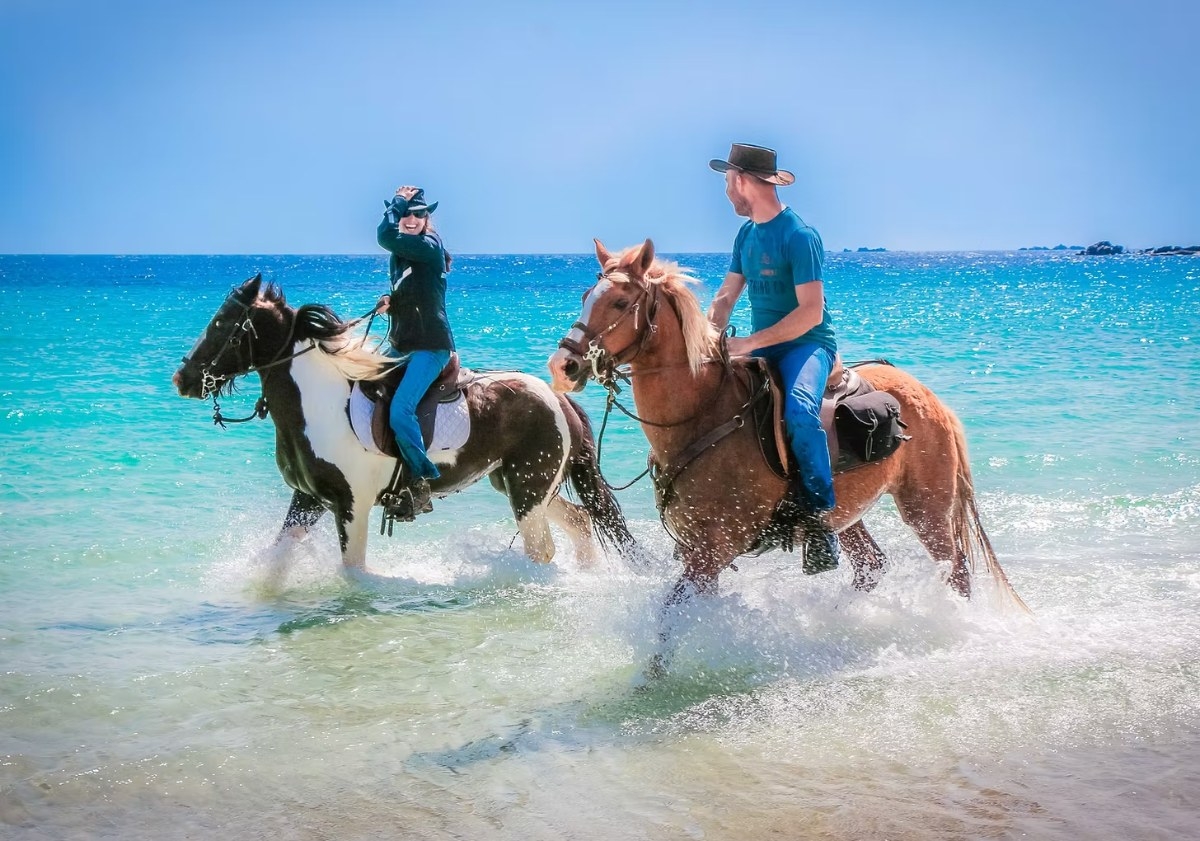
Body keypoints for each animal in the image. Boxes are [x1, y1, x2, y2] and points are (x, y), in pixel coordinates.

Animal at [173, 273, 636, 573]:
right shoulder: (308, 500)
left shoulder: (351, 504)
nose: (182, 379)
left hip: (528, 487)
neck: (320, 403)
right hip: (518, 484)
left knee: (543, 550)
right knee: (580, 523)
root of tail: (557, 396)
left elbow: (354, 572)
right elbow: (278, 558)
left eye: (222, 325)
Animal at [548, 239, 1028, 677]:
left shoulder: (712, 551)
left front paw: (648, 685)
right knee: (872, 566)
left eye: (620, 301)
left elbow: (669, 618)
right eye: (585, 295)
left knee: (956, 569)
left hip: (925, 507)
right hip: (844, 515)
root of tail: (931, 398)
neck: (703, 415)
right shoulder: (697, 554)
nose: (563, 365)